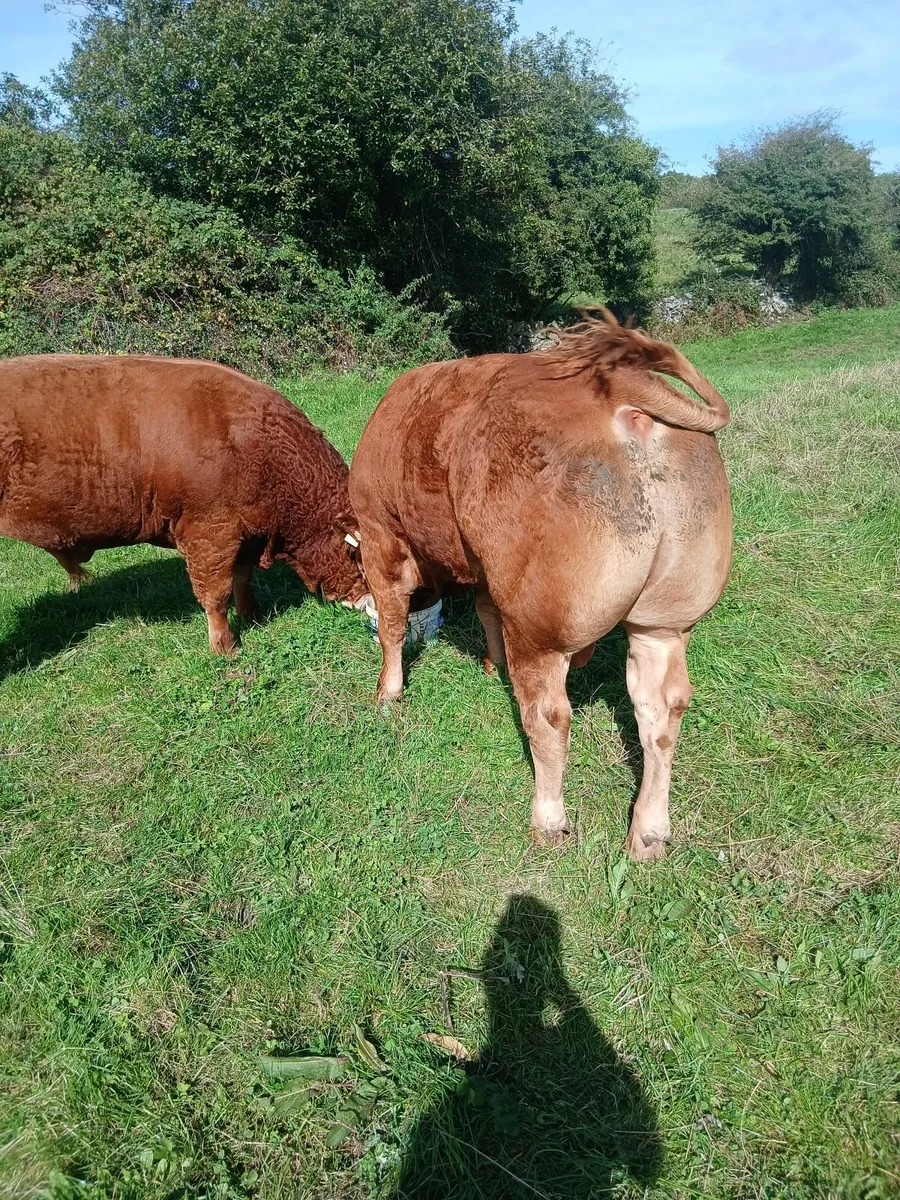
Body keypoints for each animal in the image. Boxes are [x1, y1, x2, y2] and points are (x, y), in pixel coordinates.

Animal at [0, 355, 367, 654]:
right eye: (361, 558)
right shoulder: (208, 532)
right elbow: (216, 593)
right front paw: (225, 647)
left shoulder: (241, 533)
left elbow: (242, 578)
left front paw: (254, 616)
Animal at [349, 311, 732, 860]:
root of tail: (622, 386)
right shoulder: (485, 567)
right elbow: (486, 609)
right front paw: (493, 665)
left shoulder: (382, 532)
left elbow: (393, 627)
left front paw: (387, 693)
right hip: (665, 620)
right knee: (661, 712)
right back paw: (648, 833)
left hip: (540, 625)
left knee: (550, 717)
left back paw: (548, 819)